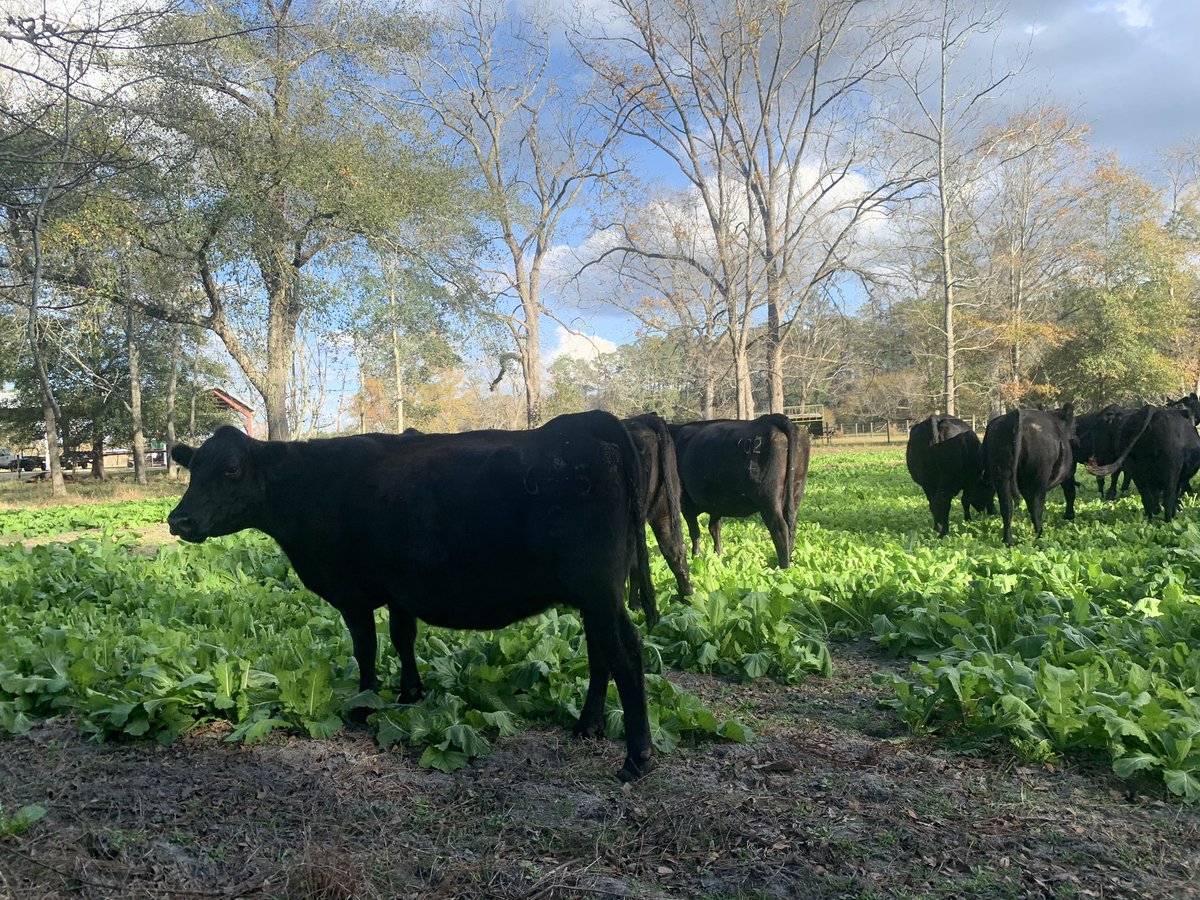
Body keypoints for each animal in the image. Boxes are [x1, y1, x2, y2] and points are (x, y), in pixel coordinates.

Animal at [167, 412, 657, 782]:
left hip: (599, 589)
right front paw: (410, 694)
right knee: (600, 653)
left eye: (230, 469)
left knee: (626, 653)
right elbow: (404, 638)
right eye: (194, 469)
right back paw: (587, 727)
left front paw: (364, 706)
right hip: (594, 597)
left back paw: (637, 759)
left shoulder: (353, 591)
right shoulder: (401, 589)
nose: (179, 520)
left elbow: (366, 648)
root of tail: (586, 422)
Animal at [668, 415, 809, 568]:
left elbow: (695, 532)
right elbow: (714, 529)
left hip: (768, 498)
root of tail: (773, 418)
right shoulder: (716, 504)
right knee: (791, 525)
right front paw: (718, 555)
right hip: (795, 490)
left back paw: (784, 567)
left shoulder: (686, 503)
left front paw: (695, 557)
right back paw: (789, 561)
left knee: (780, 528)